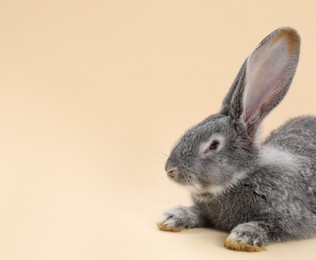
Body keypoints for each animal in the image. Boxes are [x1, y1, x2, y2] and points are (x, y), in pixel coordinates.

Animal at [157, 26, 316, 252]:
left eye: (214, 145)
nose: (170, 170)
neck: (243, 175)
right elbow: (198, 213)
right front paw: (172, 217)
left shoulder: (294, 217)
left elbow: (271, 226)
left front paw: (243, 237)